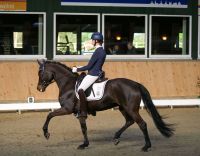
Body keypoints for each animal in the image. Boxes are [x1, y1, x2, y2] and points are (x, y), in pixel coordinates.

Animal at [36, 59, 174, 151]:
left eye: (40, 73)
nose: (39, 88)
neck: (68, 83)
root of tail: (135, 84)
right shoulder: (80, 113)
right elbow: (83, 128)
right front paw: (85, 144)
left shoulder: (66, 109)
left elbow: (50, 115)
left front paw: (46, 133)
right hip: (123, 108)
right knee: (129, 121)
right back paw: (116, 138)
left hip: (131, 109)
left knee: (142, 124)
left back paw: (146, 146)